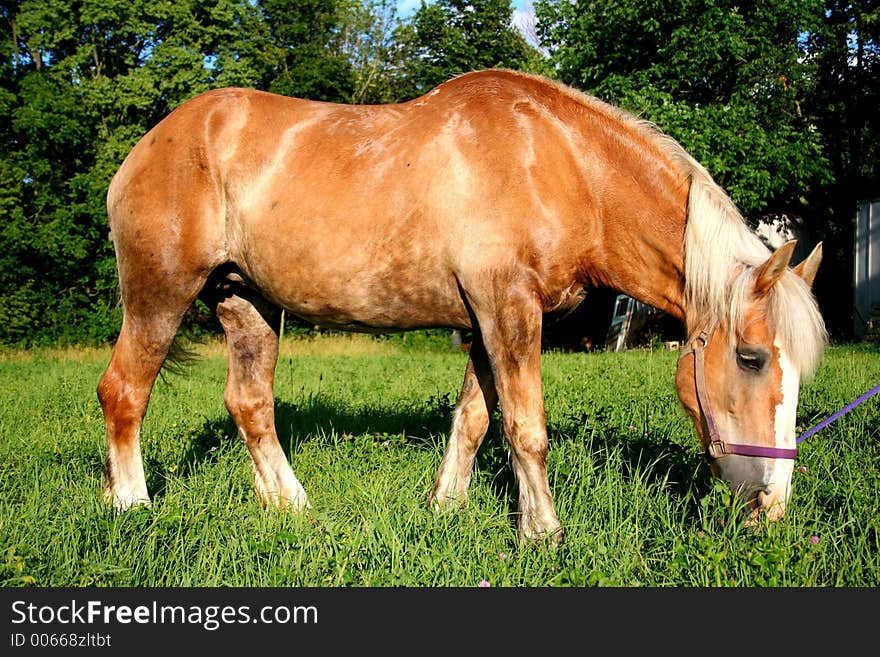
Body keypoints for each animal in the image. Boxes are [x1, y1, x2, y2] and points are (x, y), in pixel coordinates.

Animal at [99, 70, 828, 544]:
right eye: (752, 357)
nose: (774, 504)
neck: (560, 164)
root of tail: (147, 147)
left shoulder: (485, 321)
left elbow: (474, 420)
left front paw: (445, 507)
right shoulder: (508, 308)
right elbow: (526, 427)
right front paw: (543, 533)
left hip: (244, 302)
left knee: (250, 404)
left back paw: (292, 508)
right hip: (160, 295)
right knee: (123, 391)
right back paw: (131, 505)